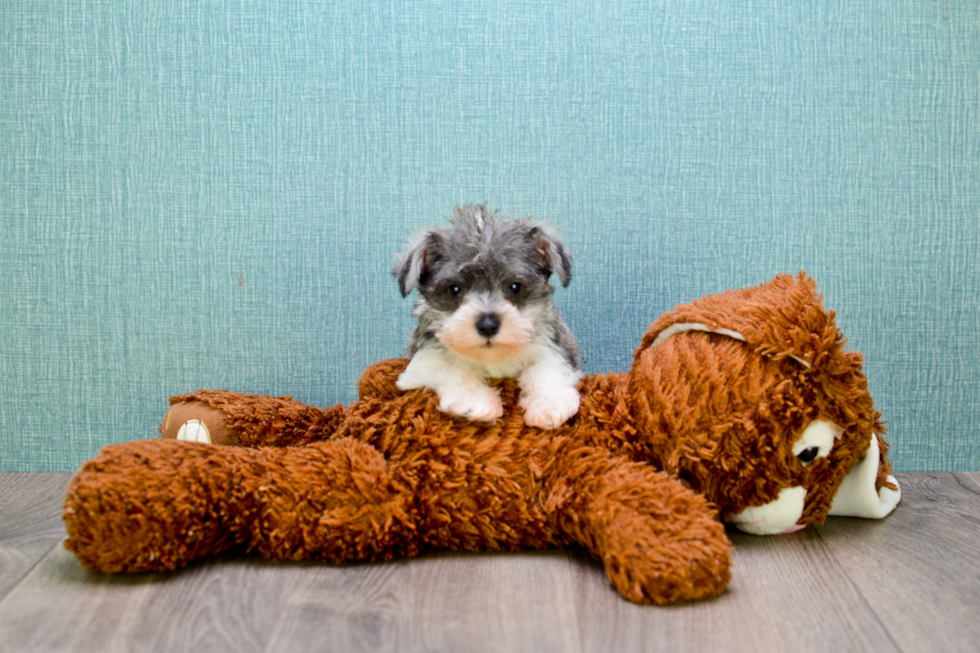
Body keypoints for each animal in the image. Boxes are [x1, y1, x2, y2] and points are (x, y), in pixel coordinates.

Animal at [392, 204, 580, 428]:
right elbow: (451, 367)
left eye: (515, 286)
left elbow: (547, 366)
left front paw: (549, 403)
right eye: (454, 289)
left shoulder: (554, 344)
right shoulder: (419, 367)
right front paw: (475, 400)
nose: (488, 325)